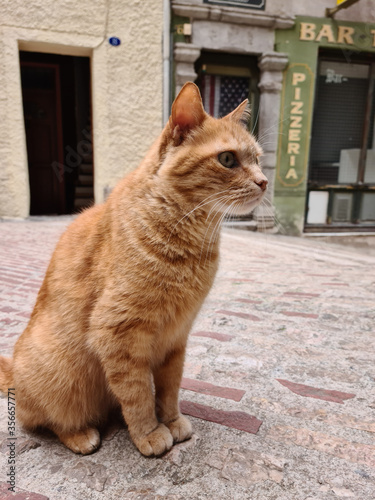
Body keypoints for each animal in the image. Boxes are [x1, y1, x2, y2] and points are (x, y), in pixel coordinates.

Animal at [0, 82, 268, 458]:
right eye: (228, 159)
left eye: (258, 159)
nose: (264, 181)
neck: (189, 239)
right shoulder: (119, 333)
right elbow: (138, 395)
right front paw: (149, 433)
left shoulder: (176, 338)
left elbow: (168, 389)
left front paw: (171, 421)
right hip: (58, 376)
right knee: (47, 420)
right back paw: (81, 435)